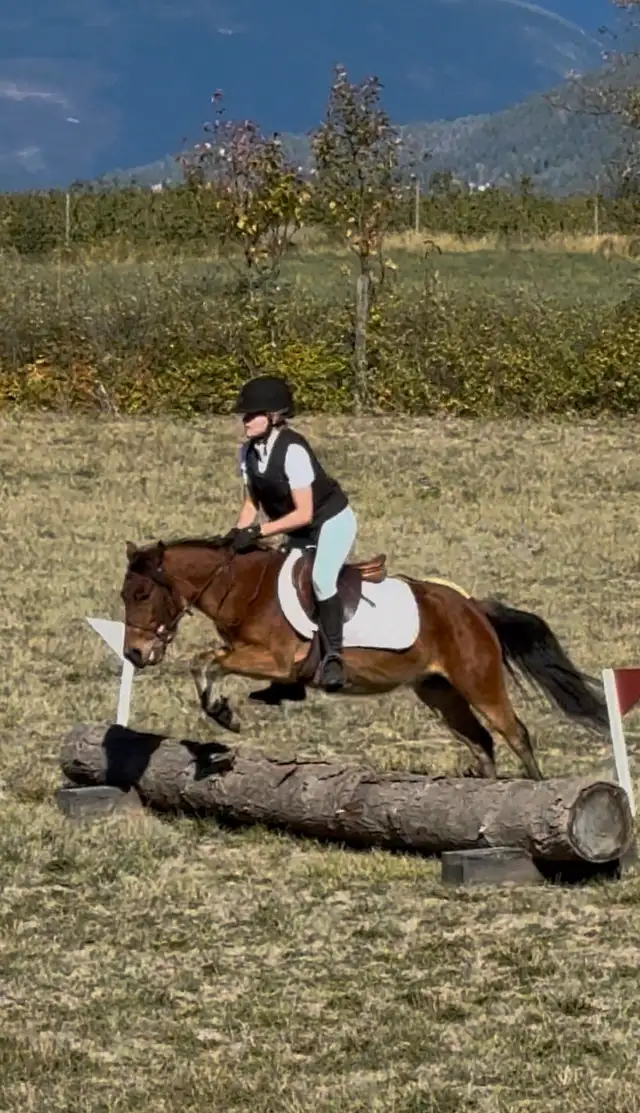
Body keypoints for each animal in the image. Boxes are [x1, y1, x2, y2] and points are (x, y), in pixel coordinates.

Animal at [119, 535, 609, 780]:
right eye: (124, 596)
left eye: (142, 594)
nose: (135, 653)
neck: (244, 587)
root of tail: (473, 608)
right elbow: (205, 661)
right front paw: (220, 709)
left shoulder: (274, 658)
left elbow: (205, 660)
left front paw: (223, 713)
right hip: (438, 692)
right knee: (482, 742)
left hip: (479, 683)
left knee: (515, 734)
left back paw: (536, 791)